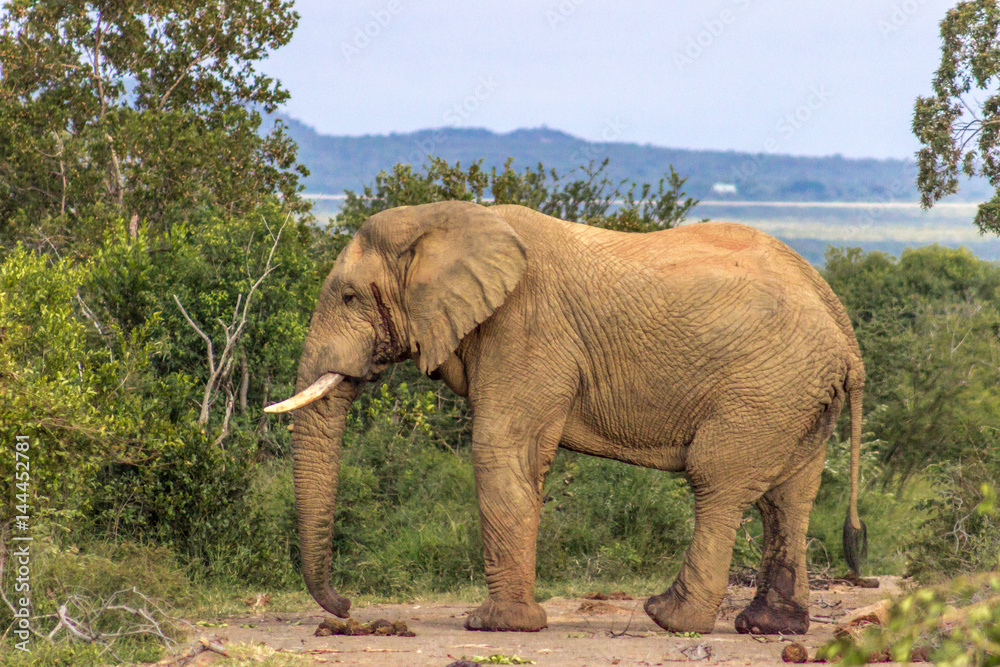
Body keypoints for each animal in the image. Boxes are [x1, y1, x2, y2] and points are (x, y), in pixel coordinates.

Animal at [265, 200, 868, 636]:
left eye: (348, 296)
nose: (346, 606)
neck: (445, 218)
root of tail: (843, 325)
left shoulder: (526, 328)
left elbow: (501, 451)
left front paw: (496, 626)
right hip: (795, 396)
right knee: (788, 498)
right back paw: (769, 626)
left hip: (764, 388)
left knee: (718, 481)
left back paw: (669, 618)